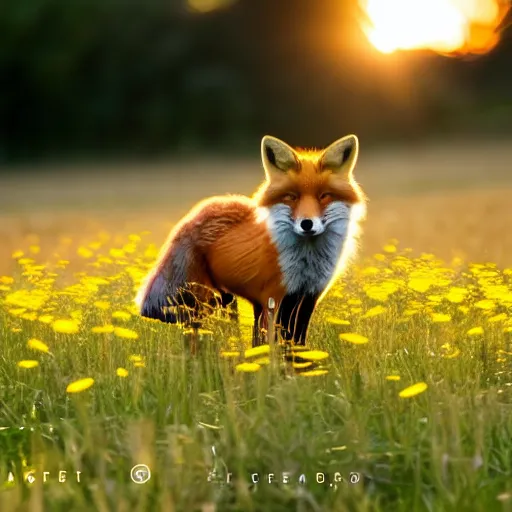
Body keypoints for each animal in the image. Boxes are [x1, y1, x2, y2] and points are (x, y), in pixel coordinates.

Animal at [135, 134, 368, 346]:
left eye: (324, 196)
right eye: (291, 197)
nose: (307, 224)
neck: (306, 263)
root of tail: (202, 209)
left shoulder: (307, 296)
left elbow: (297, 343)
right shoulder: (273, 297)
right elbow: (276, 344)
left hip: (224, 298)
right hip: (199, 298)